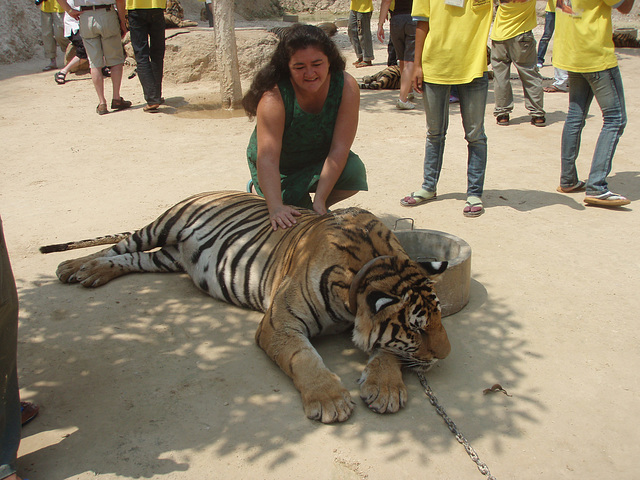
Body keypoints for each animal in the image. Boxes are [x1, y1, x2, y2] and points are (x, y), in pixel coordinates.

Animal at [41, 191, 450, 424]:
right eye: (416, 327)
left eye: (437, 317)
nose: (445, 356)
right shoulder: (280, 322)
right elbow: (303, 358)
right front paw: (330, 399)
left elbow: (388, 352)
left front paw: (385, 387)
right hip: (161, 226)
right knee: (119, 246)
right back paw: (74, 267)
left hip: (166, 258)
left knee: (130, 260)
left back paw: (93, 273)